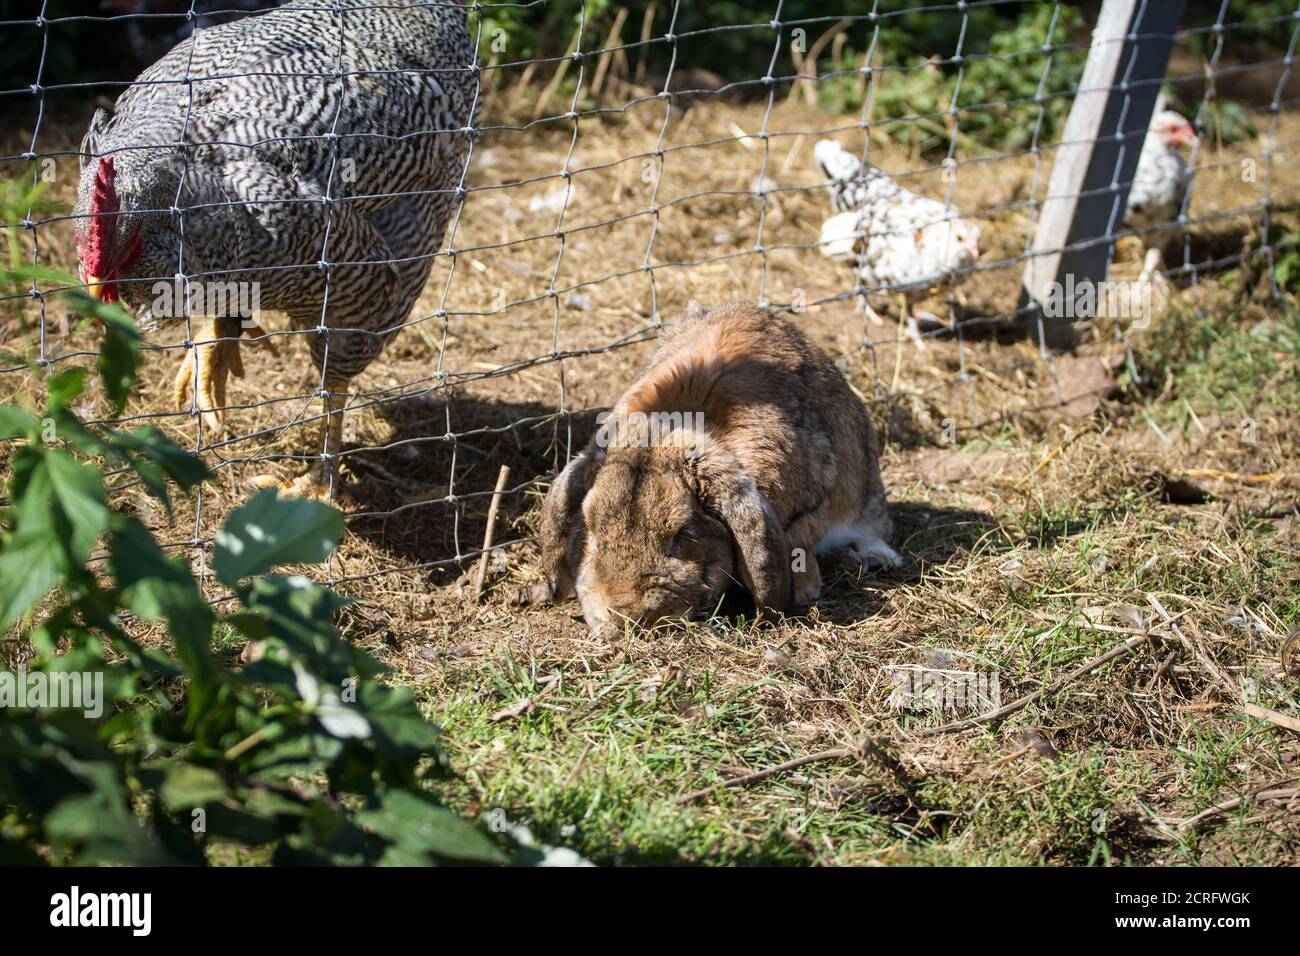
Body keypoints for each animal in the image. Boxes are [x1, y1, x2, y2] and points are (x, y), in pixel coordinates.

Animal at [532, 302, 900, 634]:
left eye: (684, 534)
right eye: (590, 527)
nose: (624, 614)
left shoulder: (811, 507)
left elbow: (801, 542)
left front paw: (805, 591)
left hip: (866, 488)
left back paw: (880, 559)